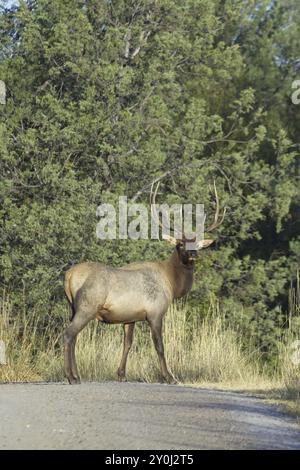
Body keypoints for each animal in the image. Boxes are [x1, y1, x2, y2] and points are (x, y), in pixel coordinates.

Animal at [64, 182, 226, 384]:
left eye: (197, 244)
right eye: (180, 243)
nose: (193, 254)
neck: (172, 284)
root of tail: (69, 276)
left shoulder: (130, 317)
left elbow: (127, 343)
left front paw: (121, 375)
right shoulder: (155, 313)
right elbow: (159, 346)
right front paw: (169, 377)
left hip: (74, 308)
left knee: (73, 336)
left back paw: (76, 375)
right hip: (87, 306)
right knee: (69, 334)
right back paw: (71, 377)